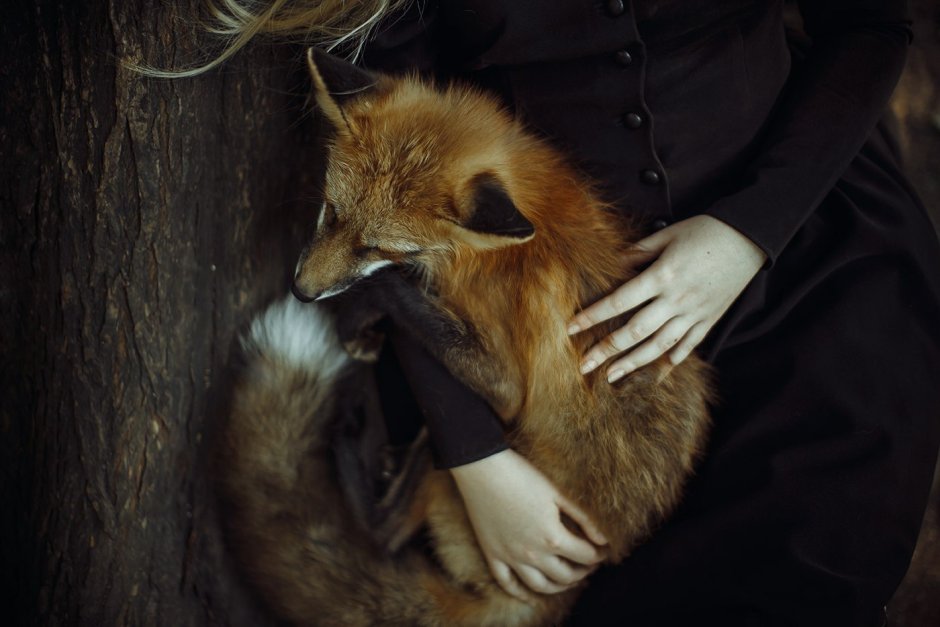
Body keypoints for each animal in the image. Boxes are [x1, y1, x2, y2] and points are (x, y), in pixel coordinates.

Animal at [216, 48, 712, 627]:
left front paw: (362, 313)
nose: (301, 291)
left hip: (455, 467)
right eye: (332, 212)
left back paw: (350, 450)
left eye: (379, 247)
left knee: (382, 532)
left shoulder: (506, 381)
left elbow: (400, 291)